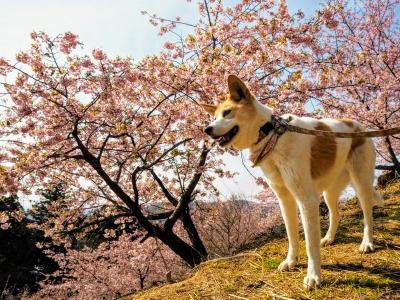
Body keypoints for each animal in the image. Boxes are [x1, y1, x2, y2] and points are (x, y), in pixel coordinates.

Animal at [202, 75, 382, 290]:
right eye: (214, 118)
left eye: (227, 112)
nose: (207, 129)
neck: (271, 136)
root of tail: (358, 126)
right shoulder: (285, 199)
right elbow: (292, 235)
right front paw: (291, 261)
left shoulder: (306, 200)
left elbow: (310, 244)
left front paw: (313, 276)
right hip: (329, 192)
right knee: (335, 214)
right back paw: (329, 238)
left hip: (361, 183)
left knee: (368, 215)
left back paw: (367, 243)